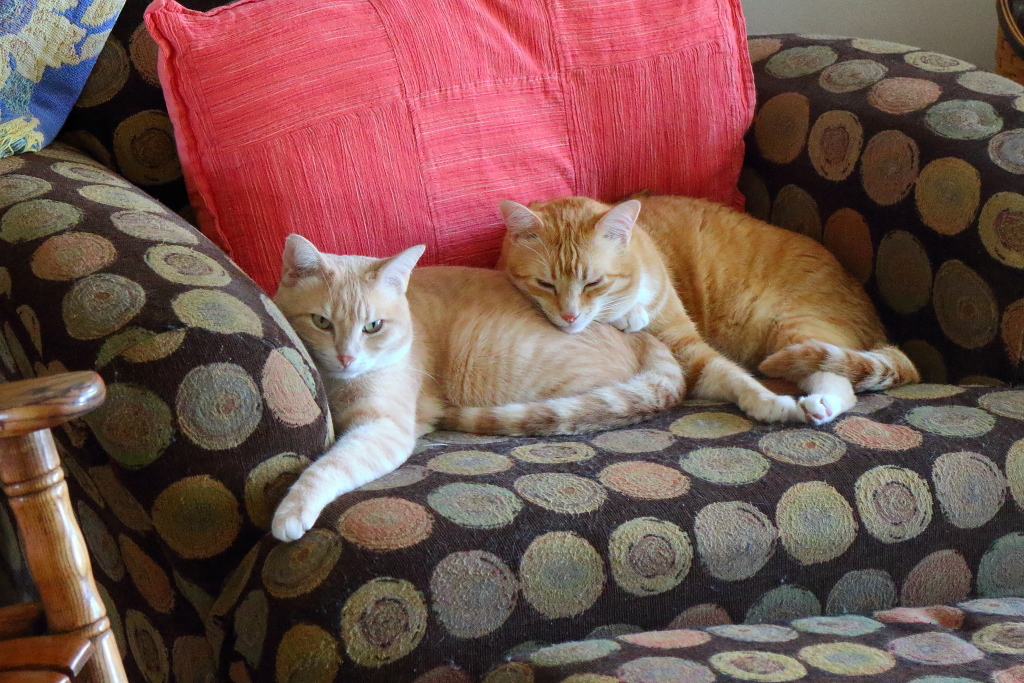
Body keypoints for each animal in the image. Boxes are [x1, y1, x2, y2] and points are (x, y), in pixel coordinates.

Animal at [270, 235, 683, 541]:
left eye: (373, 326)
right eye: (321, 322)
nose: (347, 357)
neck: (341, 385)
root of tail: (640, 335)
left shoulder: (385, 429)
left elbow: (330, 466)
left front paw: (292, 509)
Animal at [497, 195, 919, 426]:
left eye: (593, 282)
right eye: (545, 284)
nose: (569, 317)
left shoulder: (688, 348)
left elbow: (737, 377)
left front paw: (774, 405)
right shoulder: (688, 367)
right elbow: (728, 379)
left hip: (792, 328)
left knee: (838, 377)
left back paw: (820, 405)